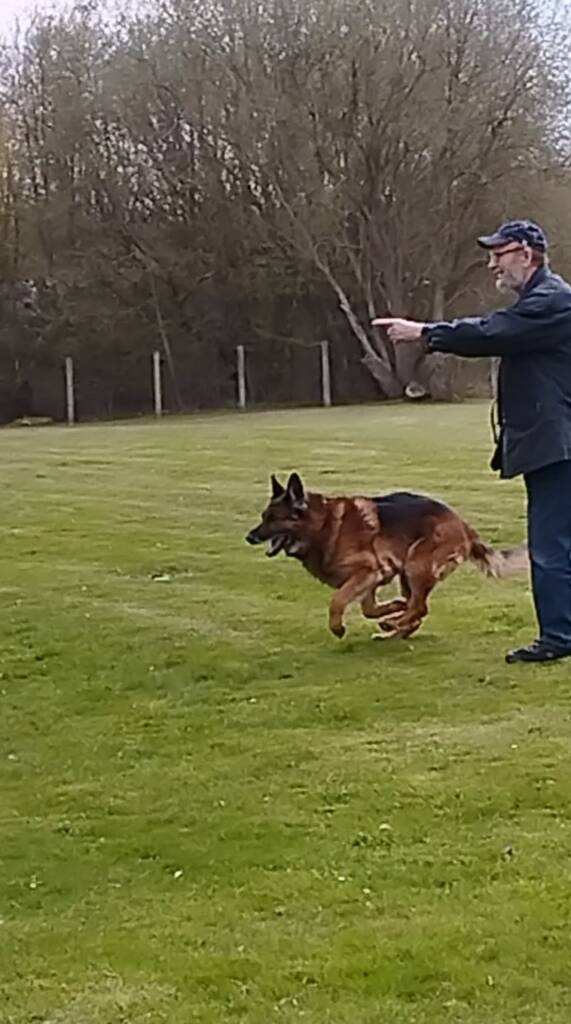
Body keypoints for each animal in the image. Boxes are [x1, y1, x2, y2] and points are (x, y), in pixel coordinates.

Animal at [246, 472, 528, 639]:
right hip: (407, 573)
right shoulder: (370, 579)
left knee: (420, 607)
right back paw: (394, 628)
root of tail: (462, 525)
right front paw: (393, 608)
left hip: (415, 565)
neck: (323, 525)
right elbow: (369, 609)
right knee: (417, 609)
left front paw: (337, 627)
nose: (249, 537)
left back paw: (393, 625)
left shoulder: (367, 572)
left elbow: (337, 600)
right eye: (263, 517)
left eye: (274, 519)